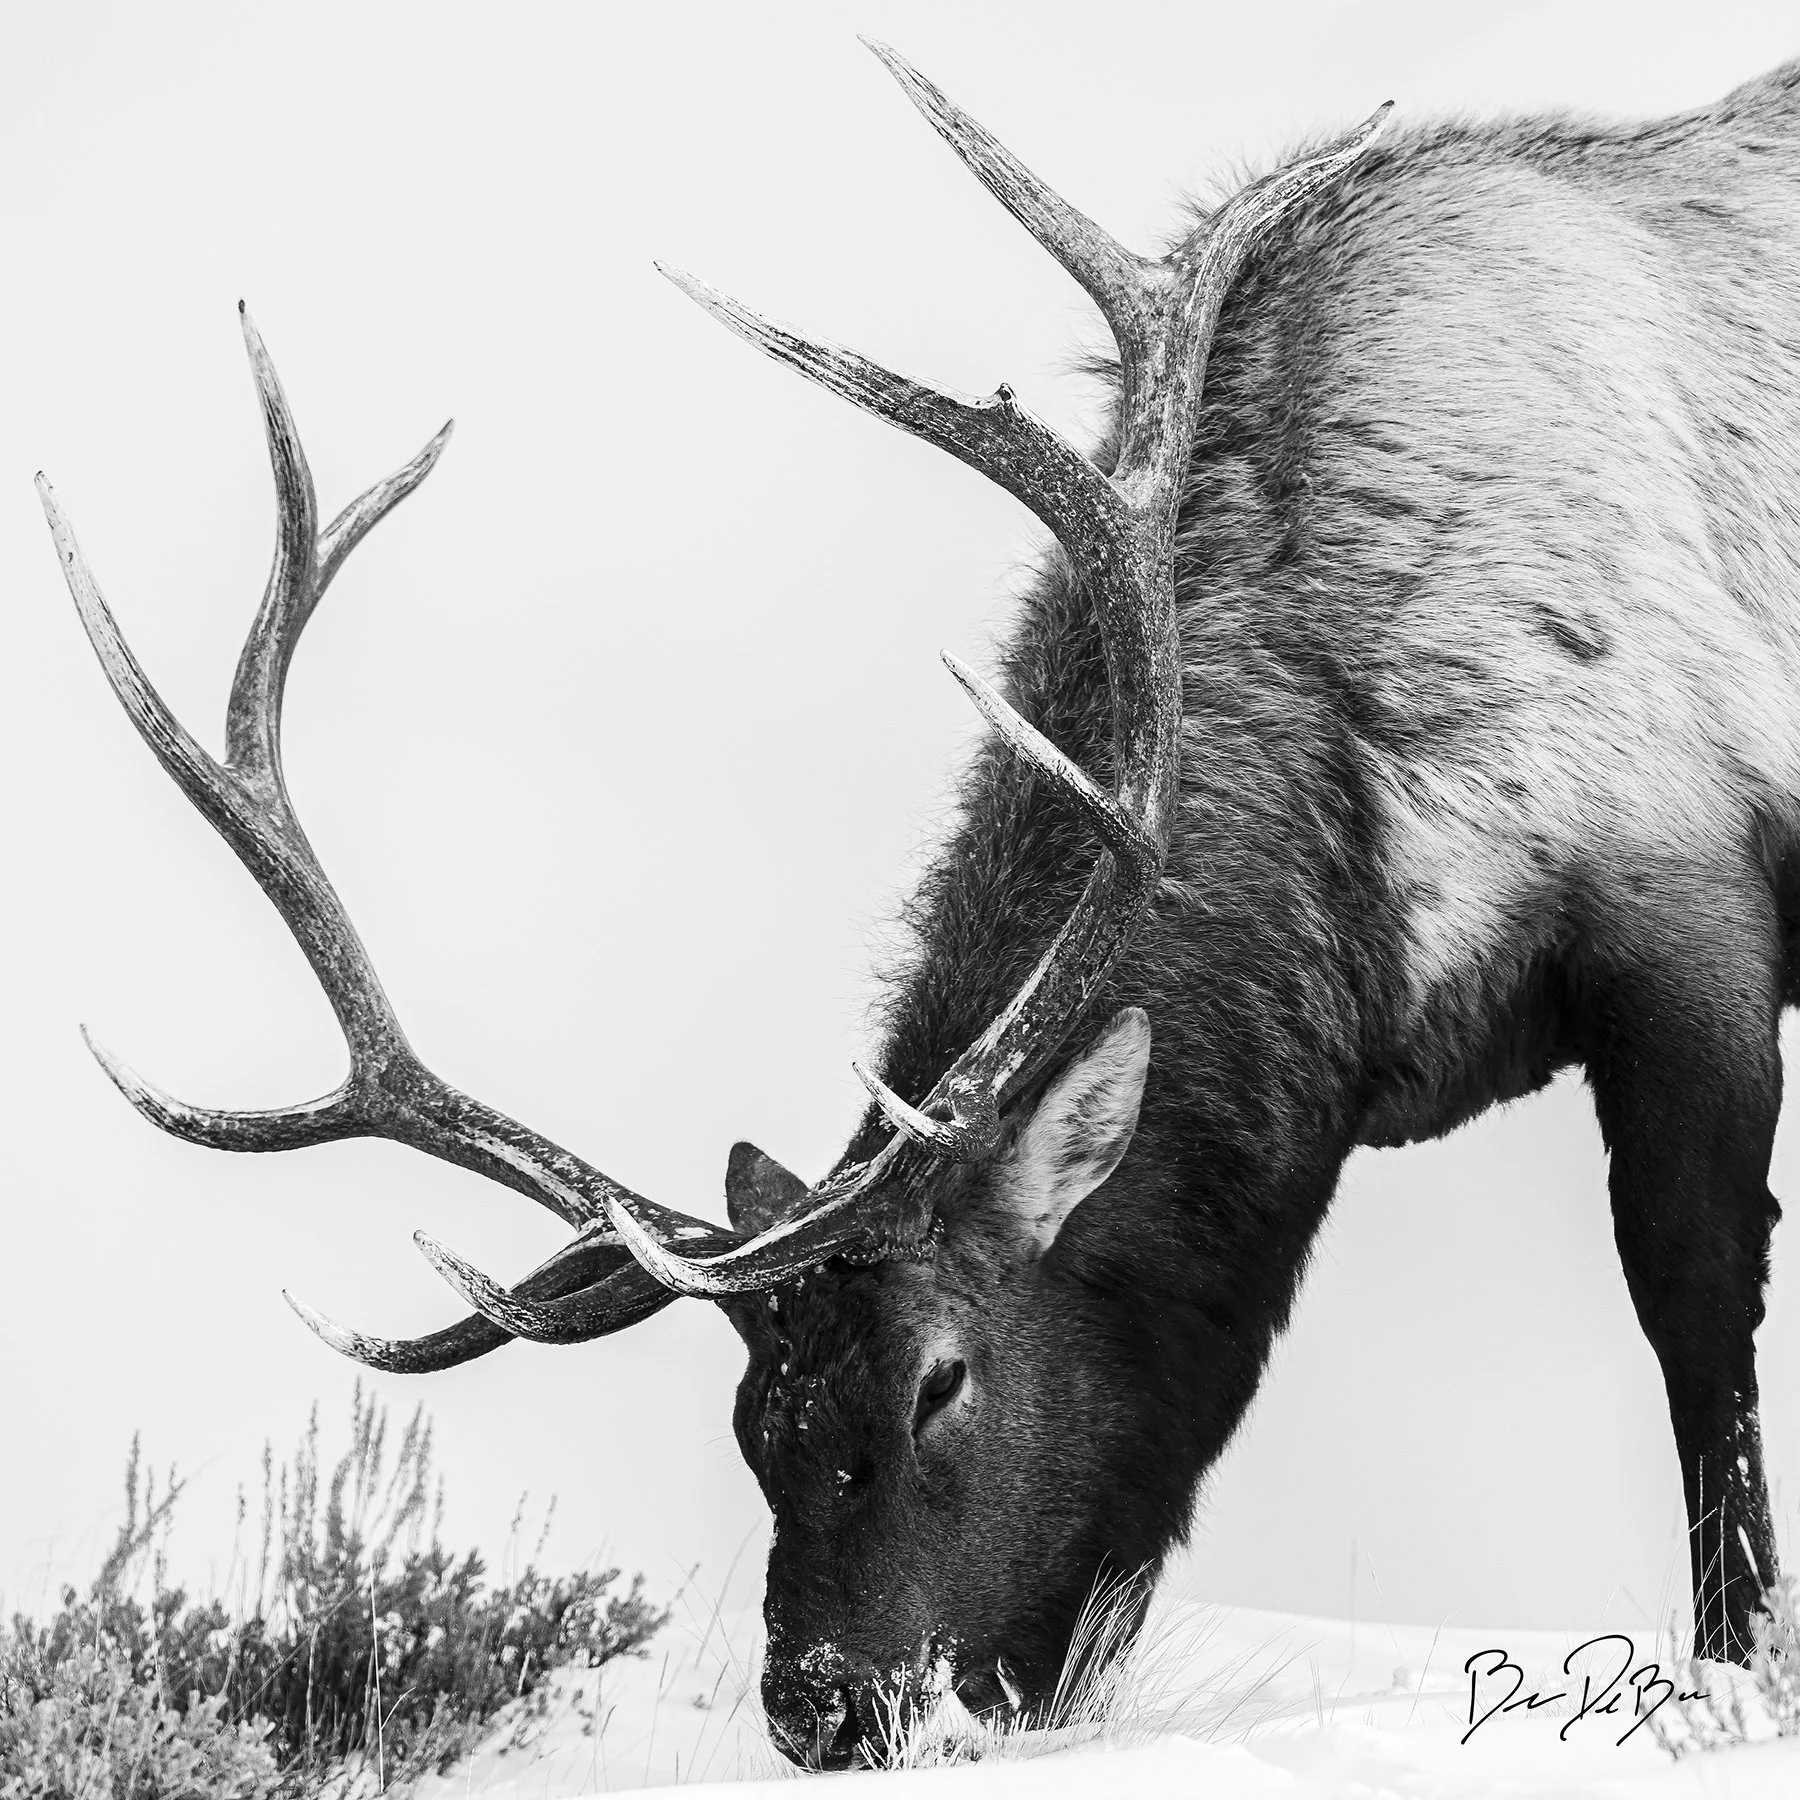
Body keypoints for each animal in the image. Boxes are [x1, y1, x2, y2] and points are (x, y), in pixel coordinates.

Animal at [41, 38, 1800, 1770]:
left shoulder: (1683, 892)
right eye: (753, 1418)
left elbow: (1695, 1298)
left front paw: (1738, 1671)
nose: (822, 1701)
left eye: (942, 1384)